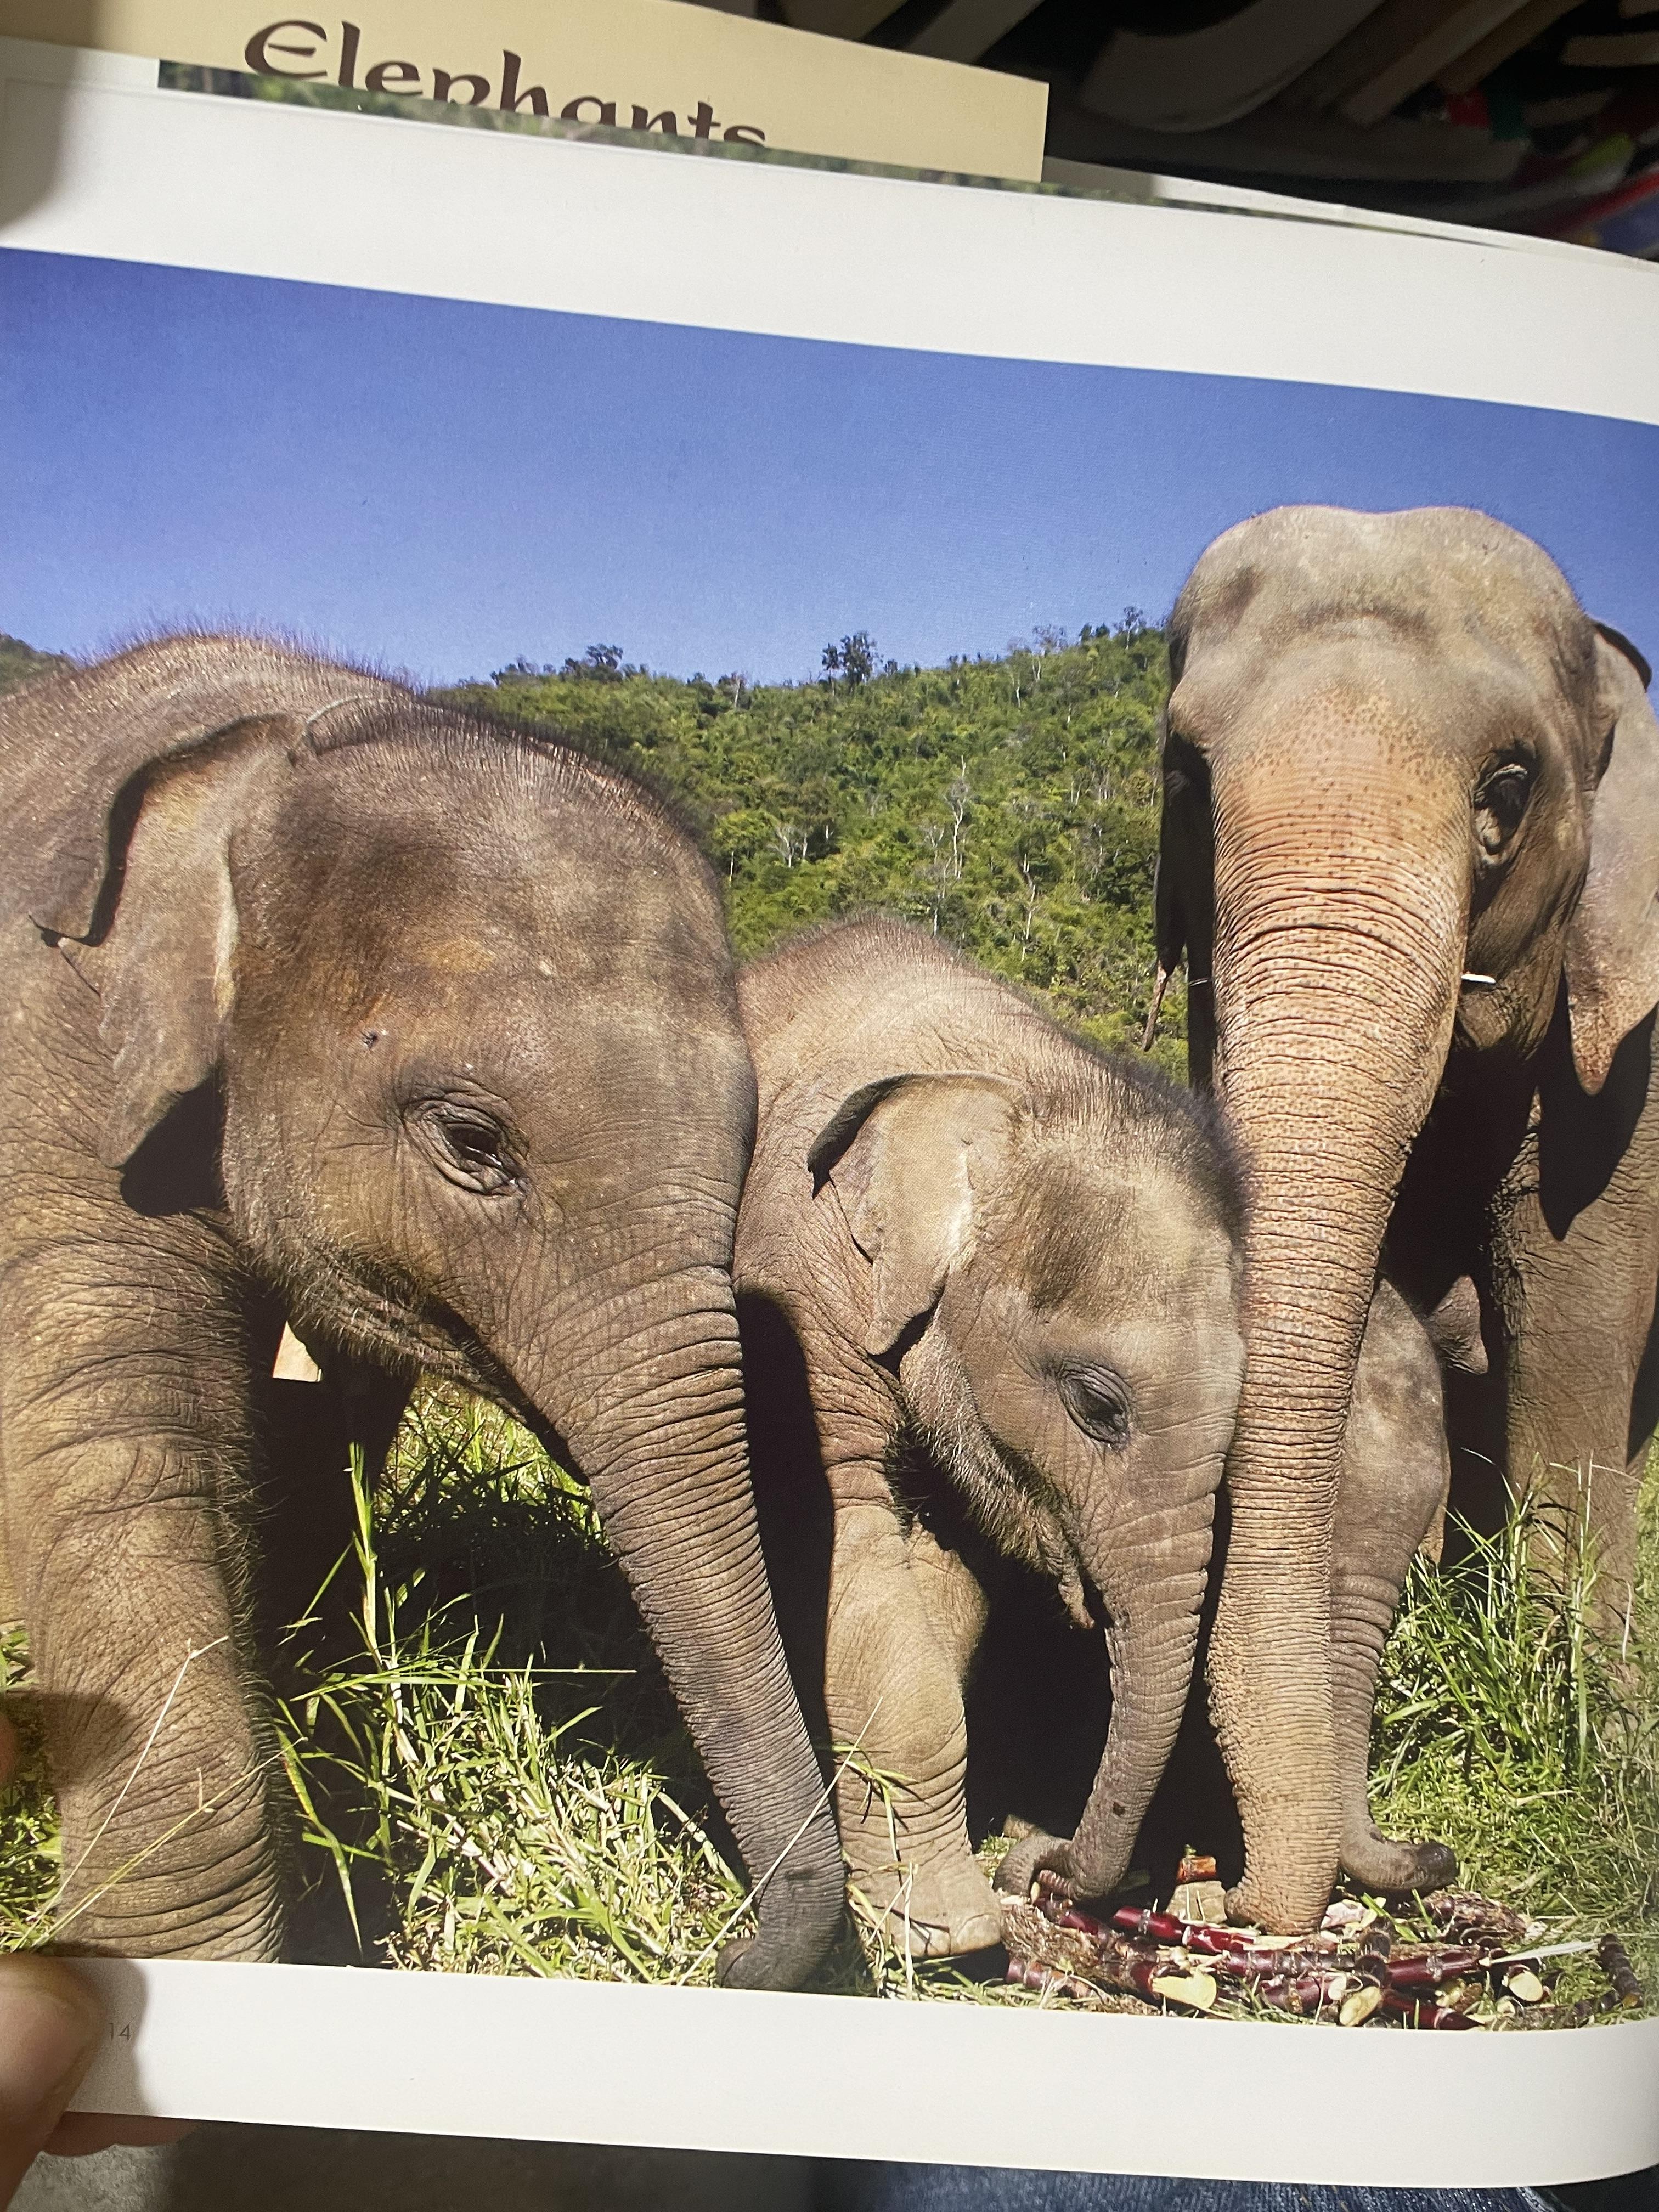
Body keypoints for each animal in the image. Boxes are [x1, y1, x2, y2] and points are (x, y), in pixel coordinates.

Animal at [0, 634, 844, 1987]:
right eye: (472, 1141)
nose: (724, 1956)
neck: (284, 740)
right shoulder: (54, 1085)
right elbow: (124, 1458)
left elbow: (303, 1435)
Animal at [733, 917, 1246, 1953]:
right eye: (1097, 1405)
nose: (1040, 1867)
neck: (1015, 1081)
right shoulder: (799, 1269)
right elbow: (838, 1537)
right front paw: (956, 1935)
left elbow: (945, 1583)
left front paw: (923, 1916)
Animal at [1147, 504, 1659, 1932]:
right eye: (1187, 778)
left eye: (1508, 790)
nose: (1429, 1860)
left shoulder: (1628, 1067)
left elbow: (1571, 1319)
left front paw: (1588, 1752)